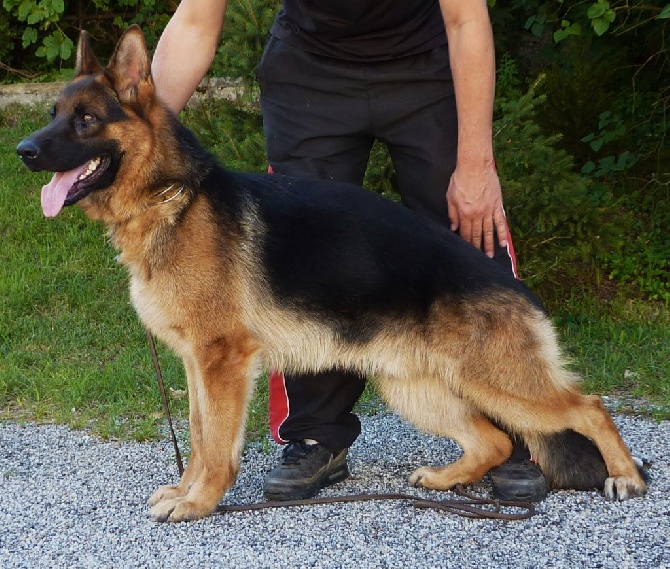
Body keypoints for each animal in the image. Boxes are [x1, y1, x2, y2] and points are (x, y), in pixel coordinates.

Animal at [17, 28, 644, 520]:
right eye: (53, 115)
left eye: (86, 120)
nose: (23, 151)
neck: (171, 197)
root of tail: (520, 288)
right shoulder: (198, 365)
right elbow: (197, 436)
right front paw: (186, 490)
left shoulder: (222, 363)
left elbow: (217, 446)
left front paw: (200, 503)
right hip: (412, 388)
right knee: (490, 440)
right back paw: (445, 479)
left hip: (499, 383)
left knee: (588, 408)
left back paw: (626, 476)